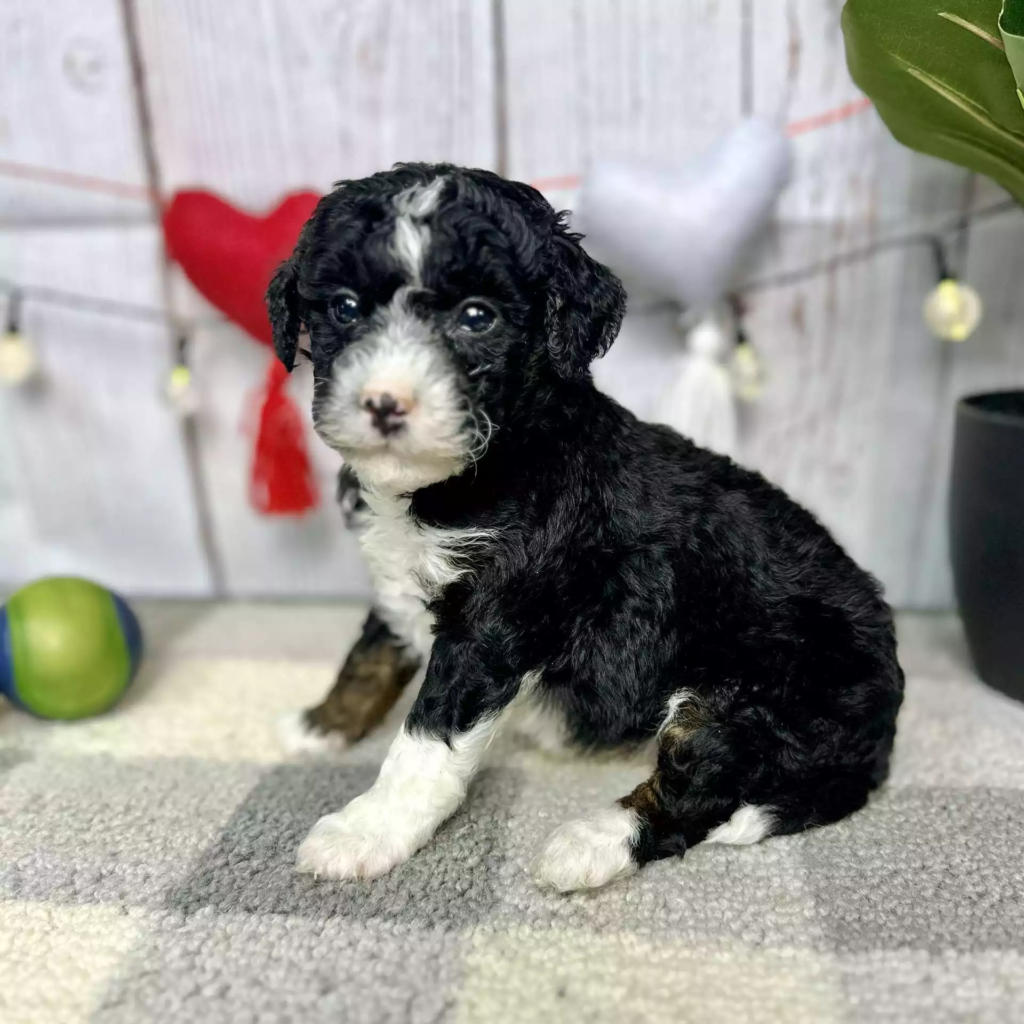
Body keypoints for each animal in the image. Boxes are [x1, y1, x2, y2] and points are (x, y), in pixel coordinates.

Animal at [267, 162, 904, 892]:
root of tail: (882, 734)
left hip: (751, 694)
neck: (481, 467)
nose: (383, 403)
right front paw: (321, 725)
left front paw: (369, 829)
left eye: (477, 317)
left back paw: (591, 843)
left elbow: (426, 739)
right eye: (344, 308)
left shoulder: (493, 618)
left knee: (699, 790)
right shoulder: (402, 581)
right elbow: (369, 654)